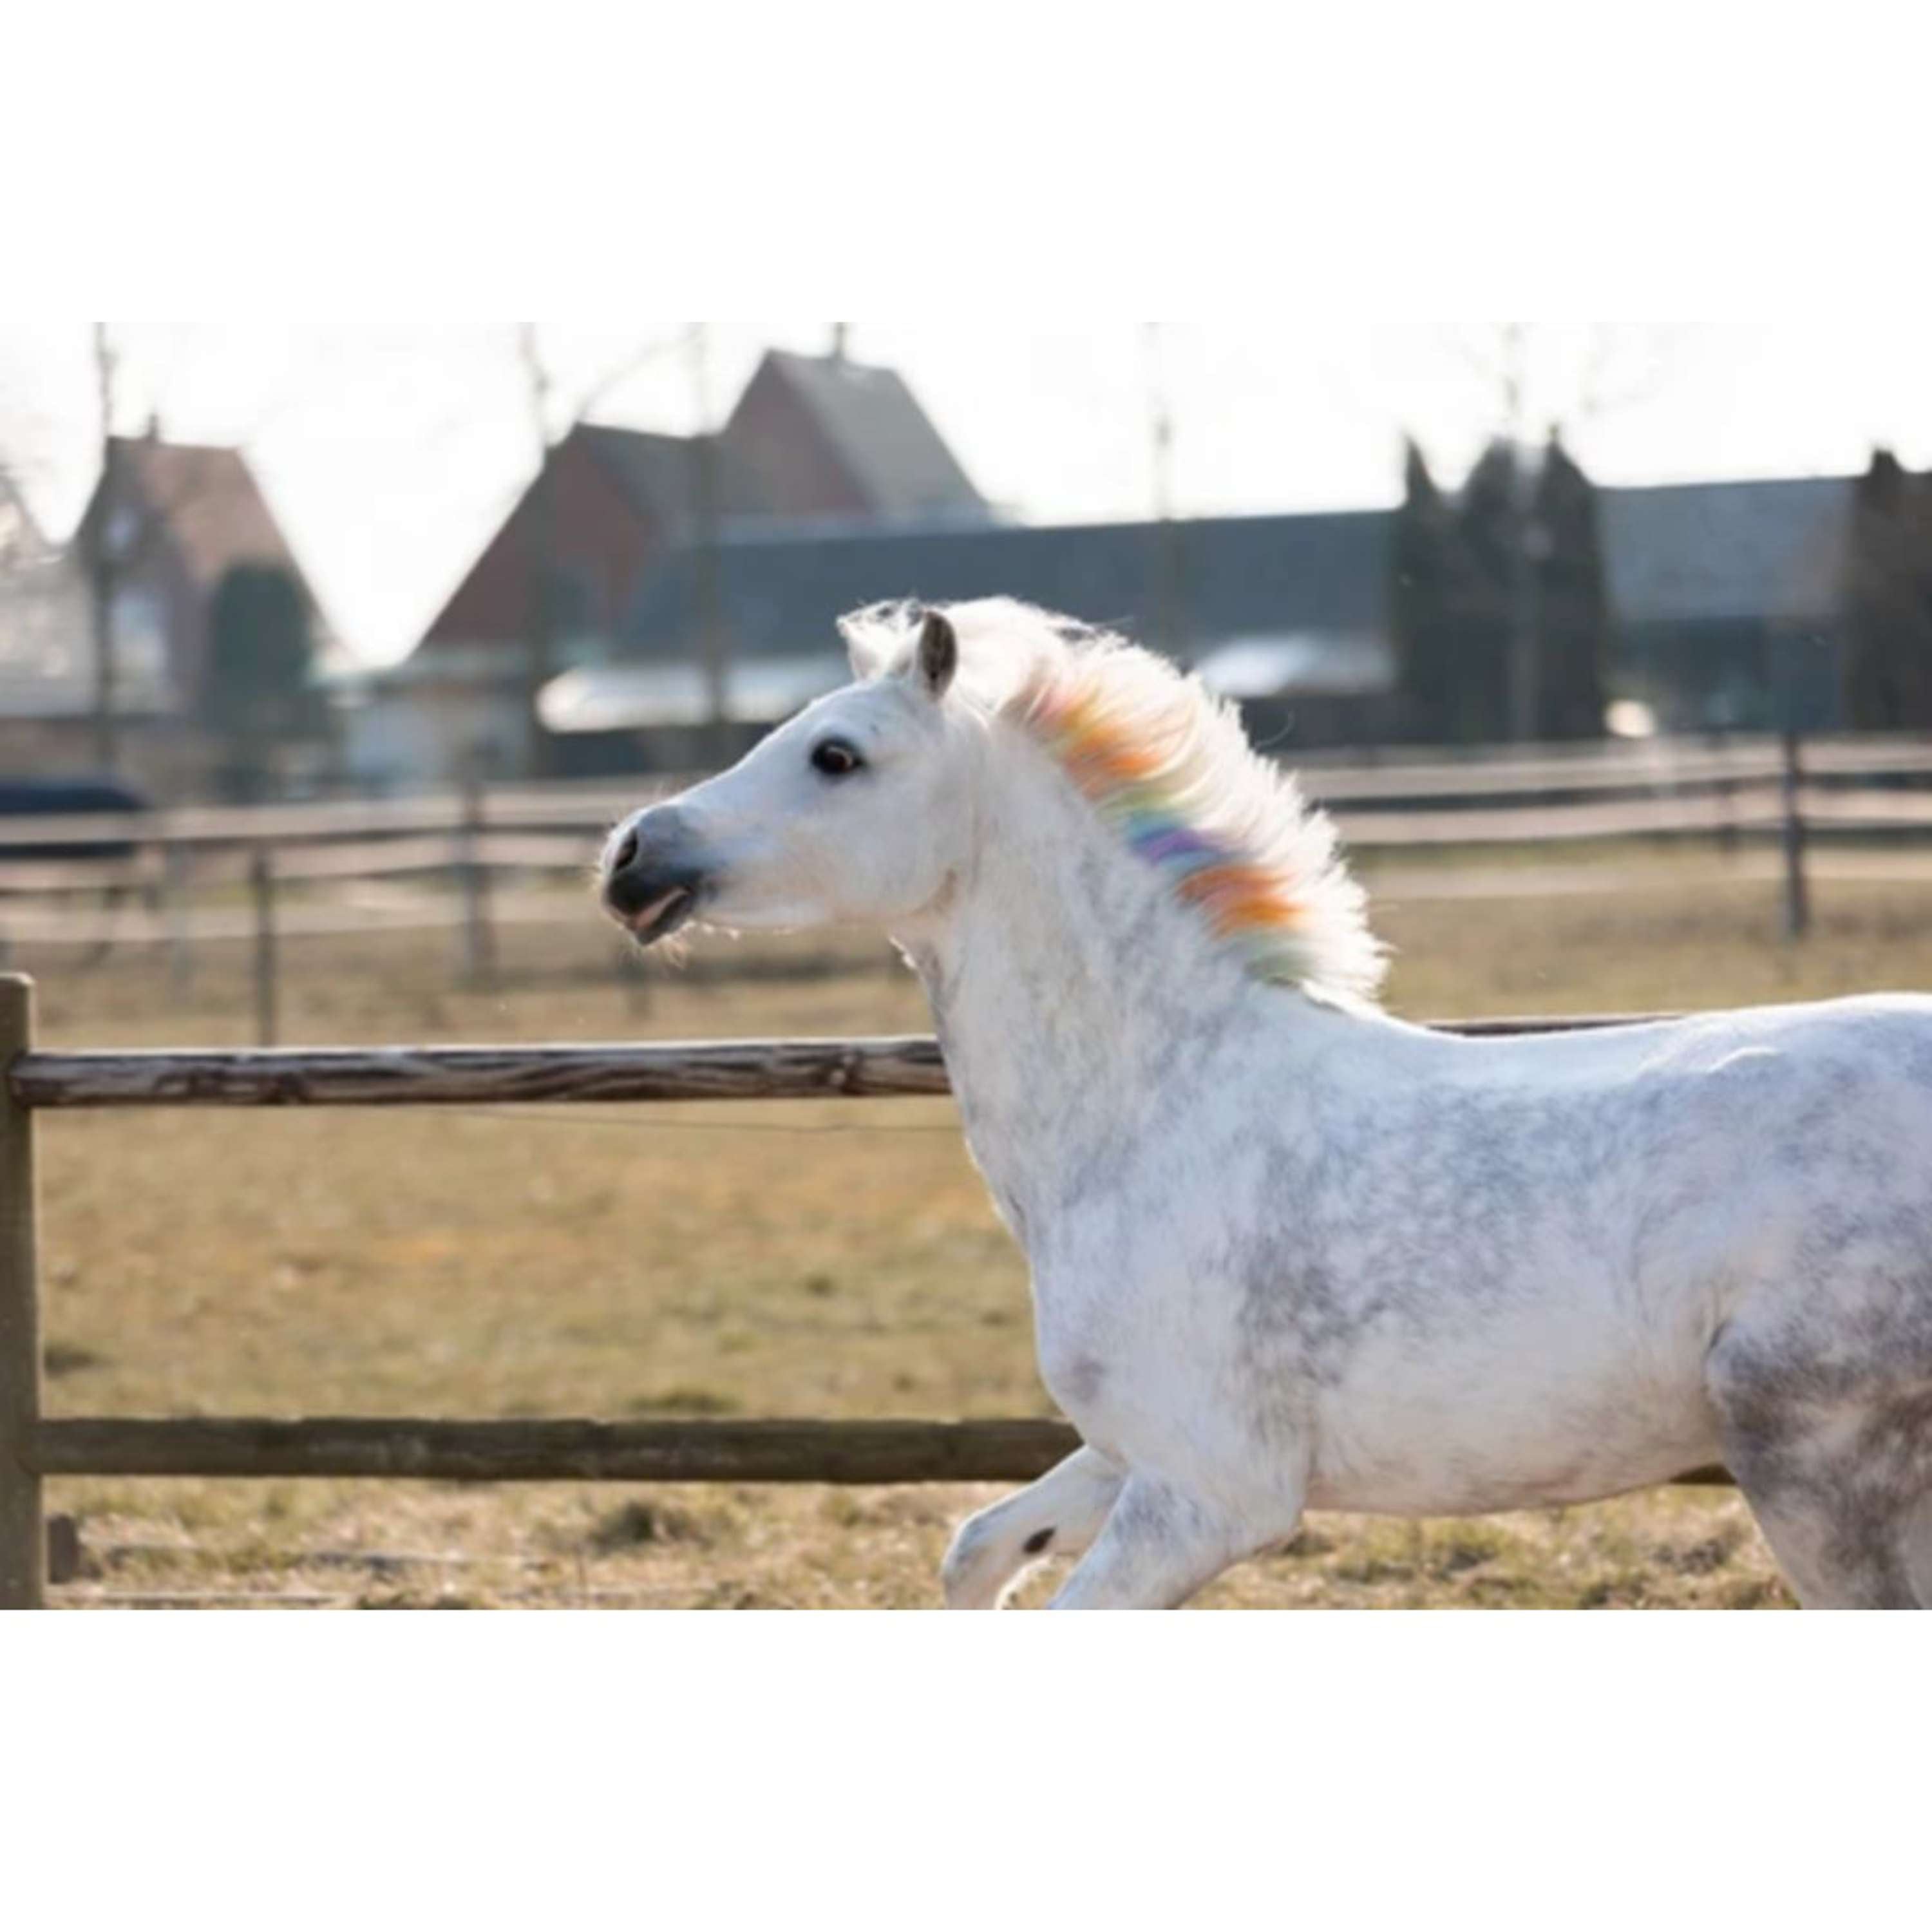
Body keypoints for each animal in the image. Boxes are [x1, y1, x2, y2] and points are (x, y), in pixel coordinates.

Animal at [599, 598, 1932, 1609]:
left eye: (838, 755)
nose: (631, 858)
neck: (1161, 1114)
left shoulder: (1213, 1493)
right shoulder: (1133, 1450)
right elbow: (976, 1547)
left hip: (1811, 1459)